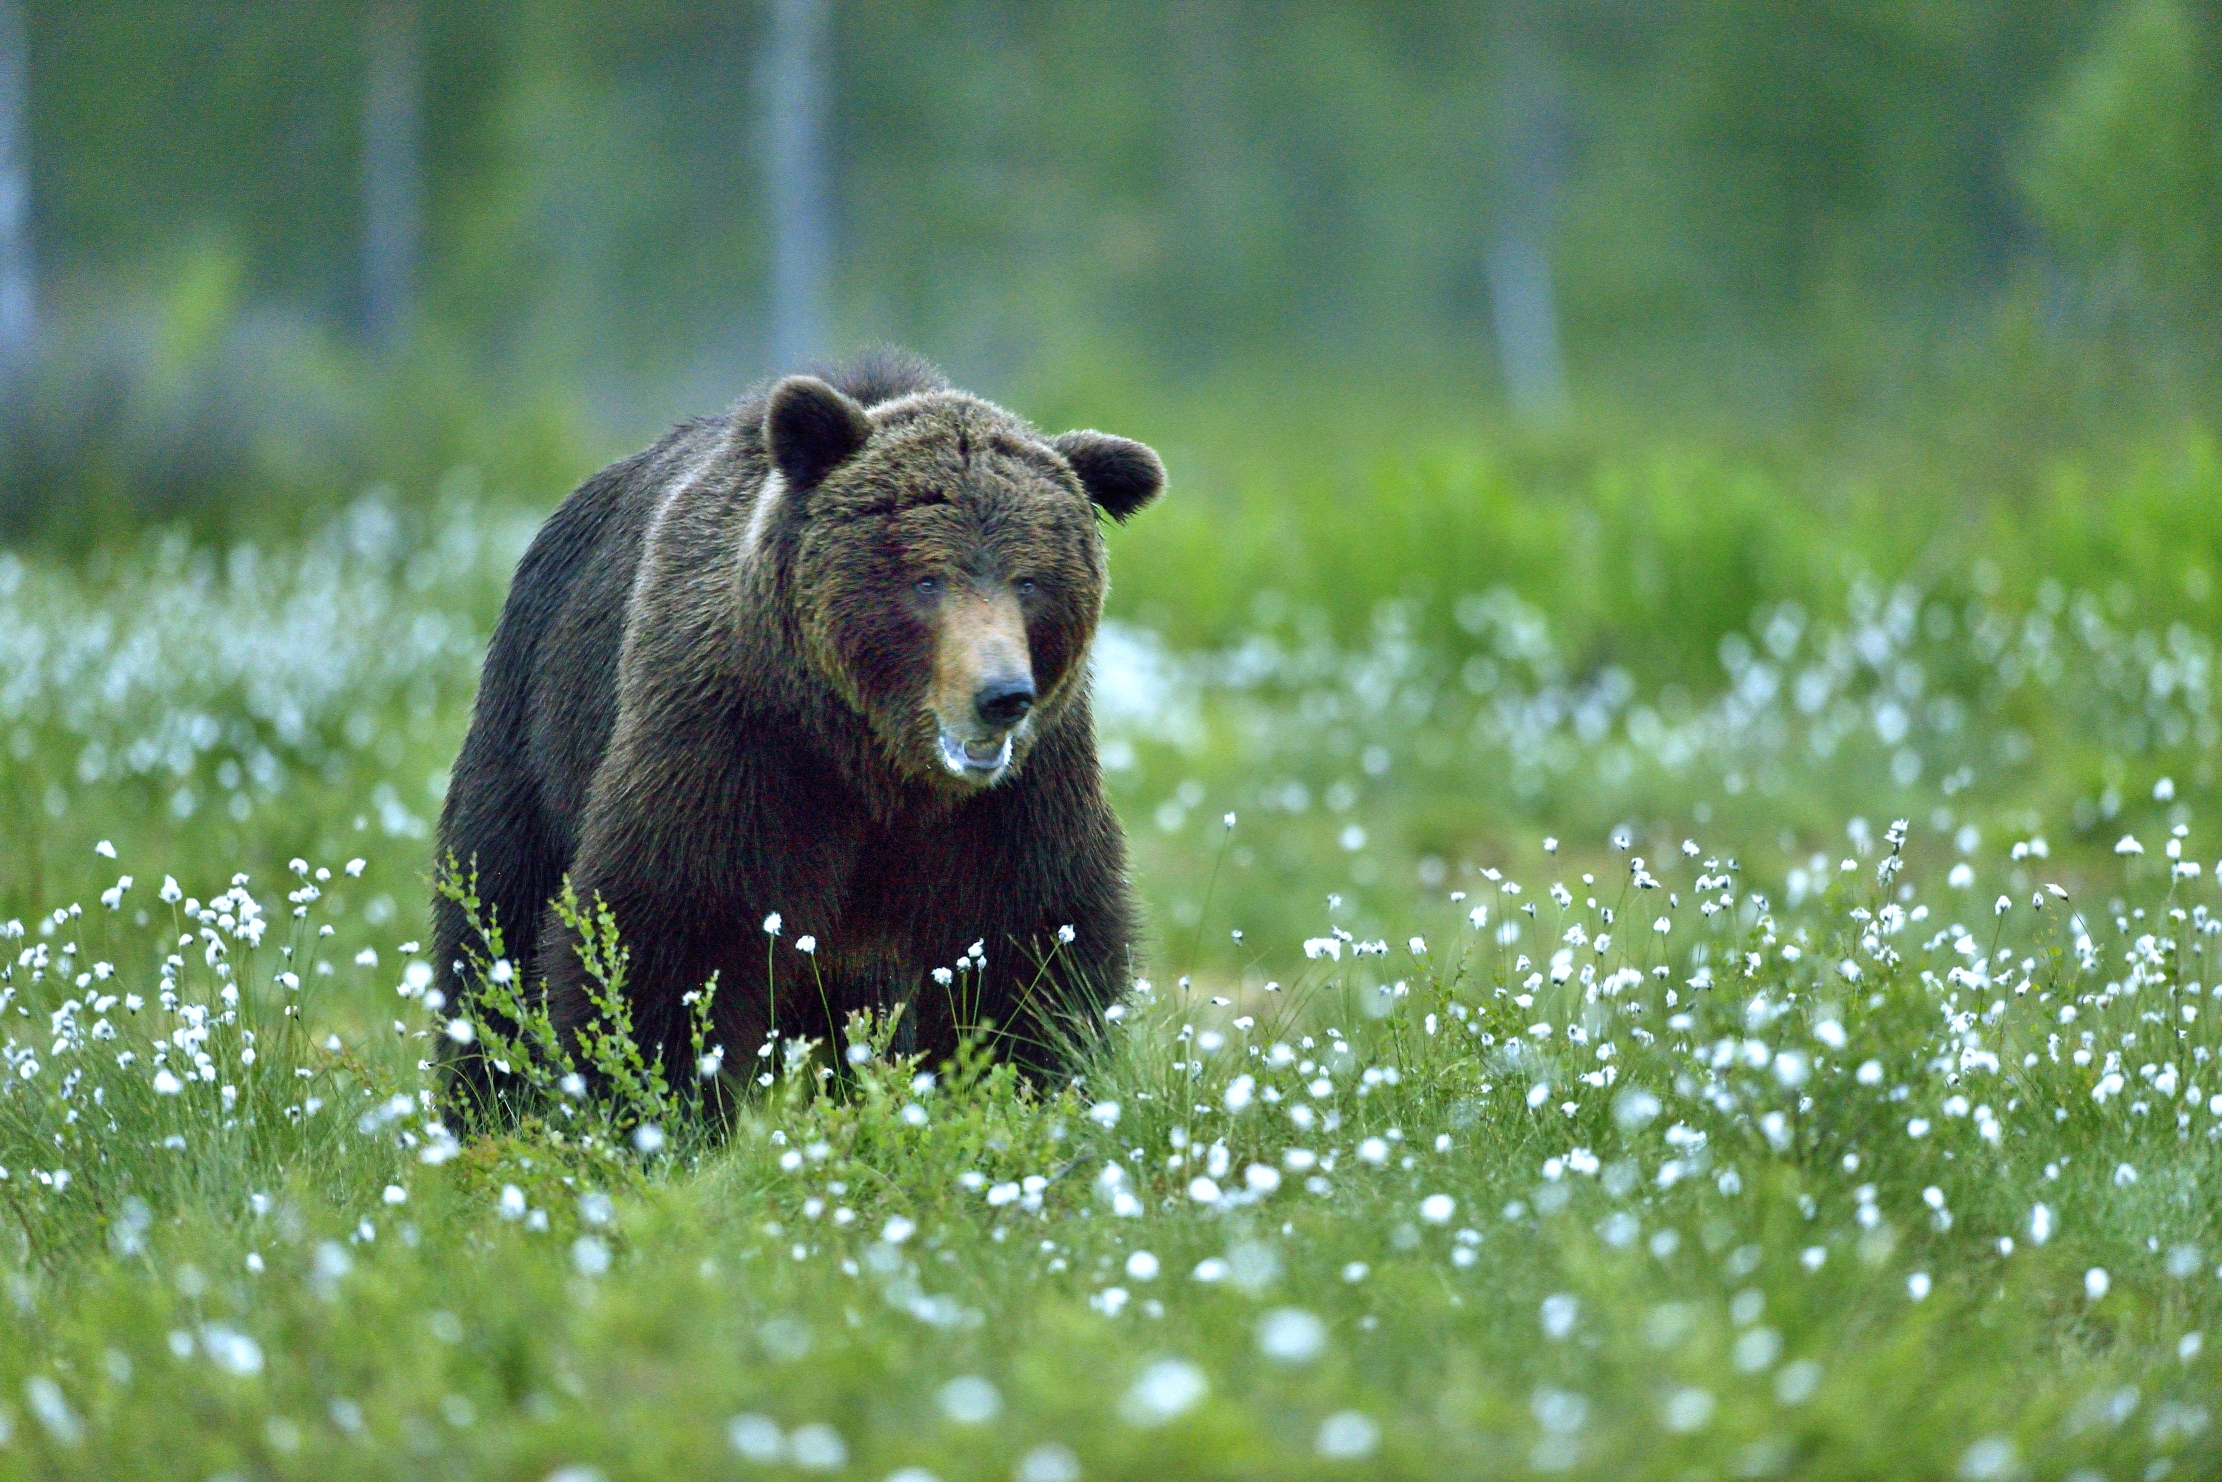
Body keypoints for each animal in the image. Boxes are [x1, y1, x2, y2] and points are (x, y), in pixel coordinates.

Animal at [430, 350, 1164, 1107]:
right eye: (927, 579)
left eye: (1031, 582)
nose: (1002, 696)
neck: (875, 760)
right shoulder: (738, 739)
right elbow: (676, 927)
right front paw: (660, 1099)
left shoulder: (1019, 796)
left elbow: (1028, 944)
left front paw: (1018, 1084)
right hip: (535, 720)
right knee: (495, 914)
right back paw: (484, 1096)